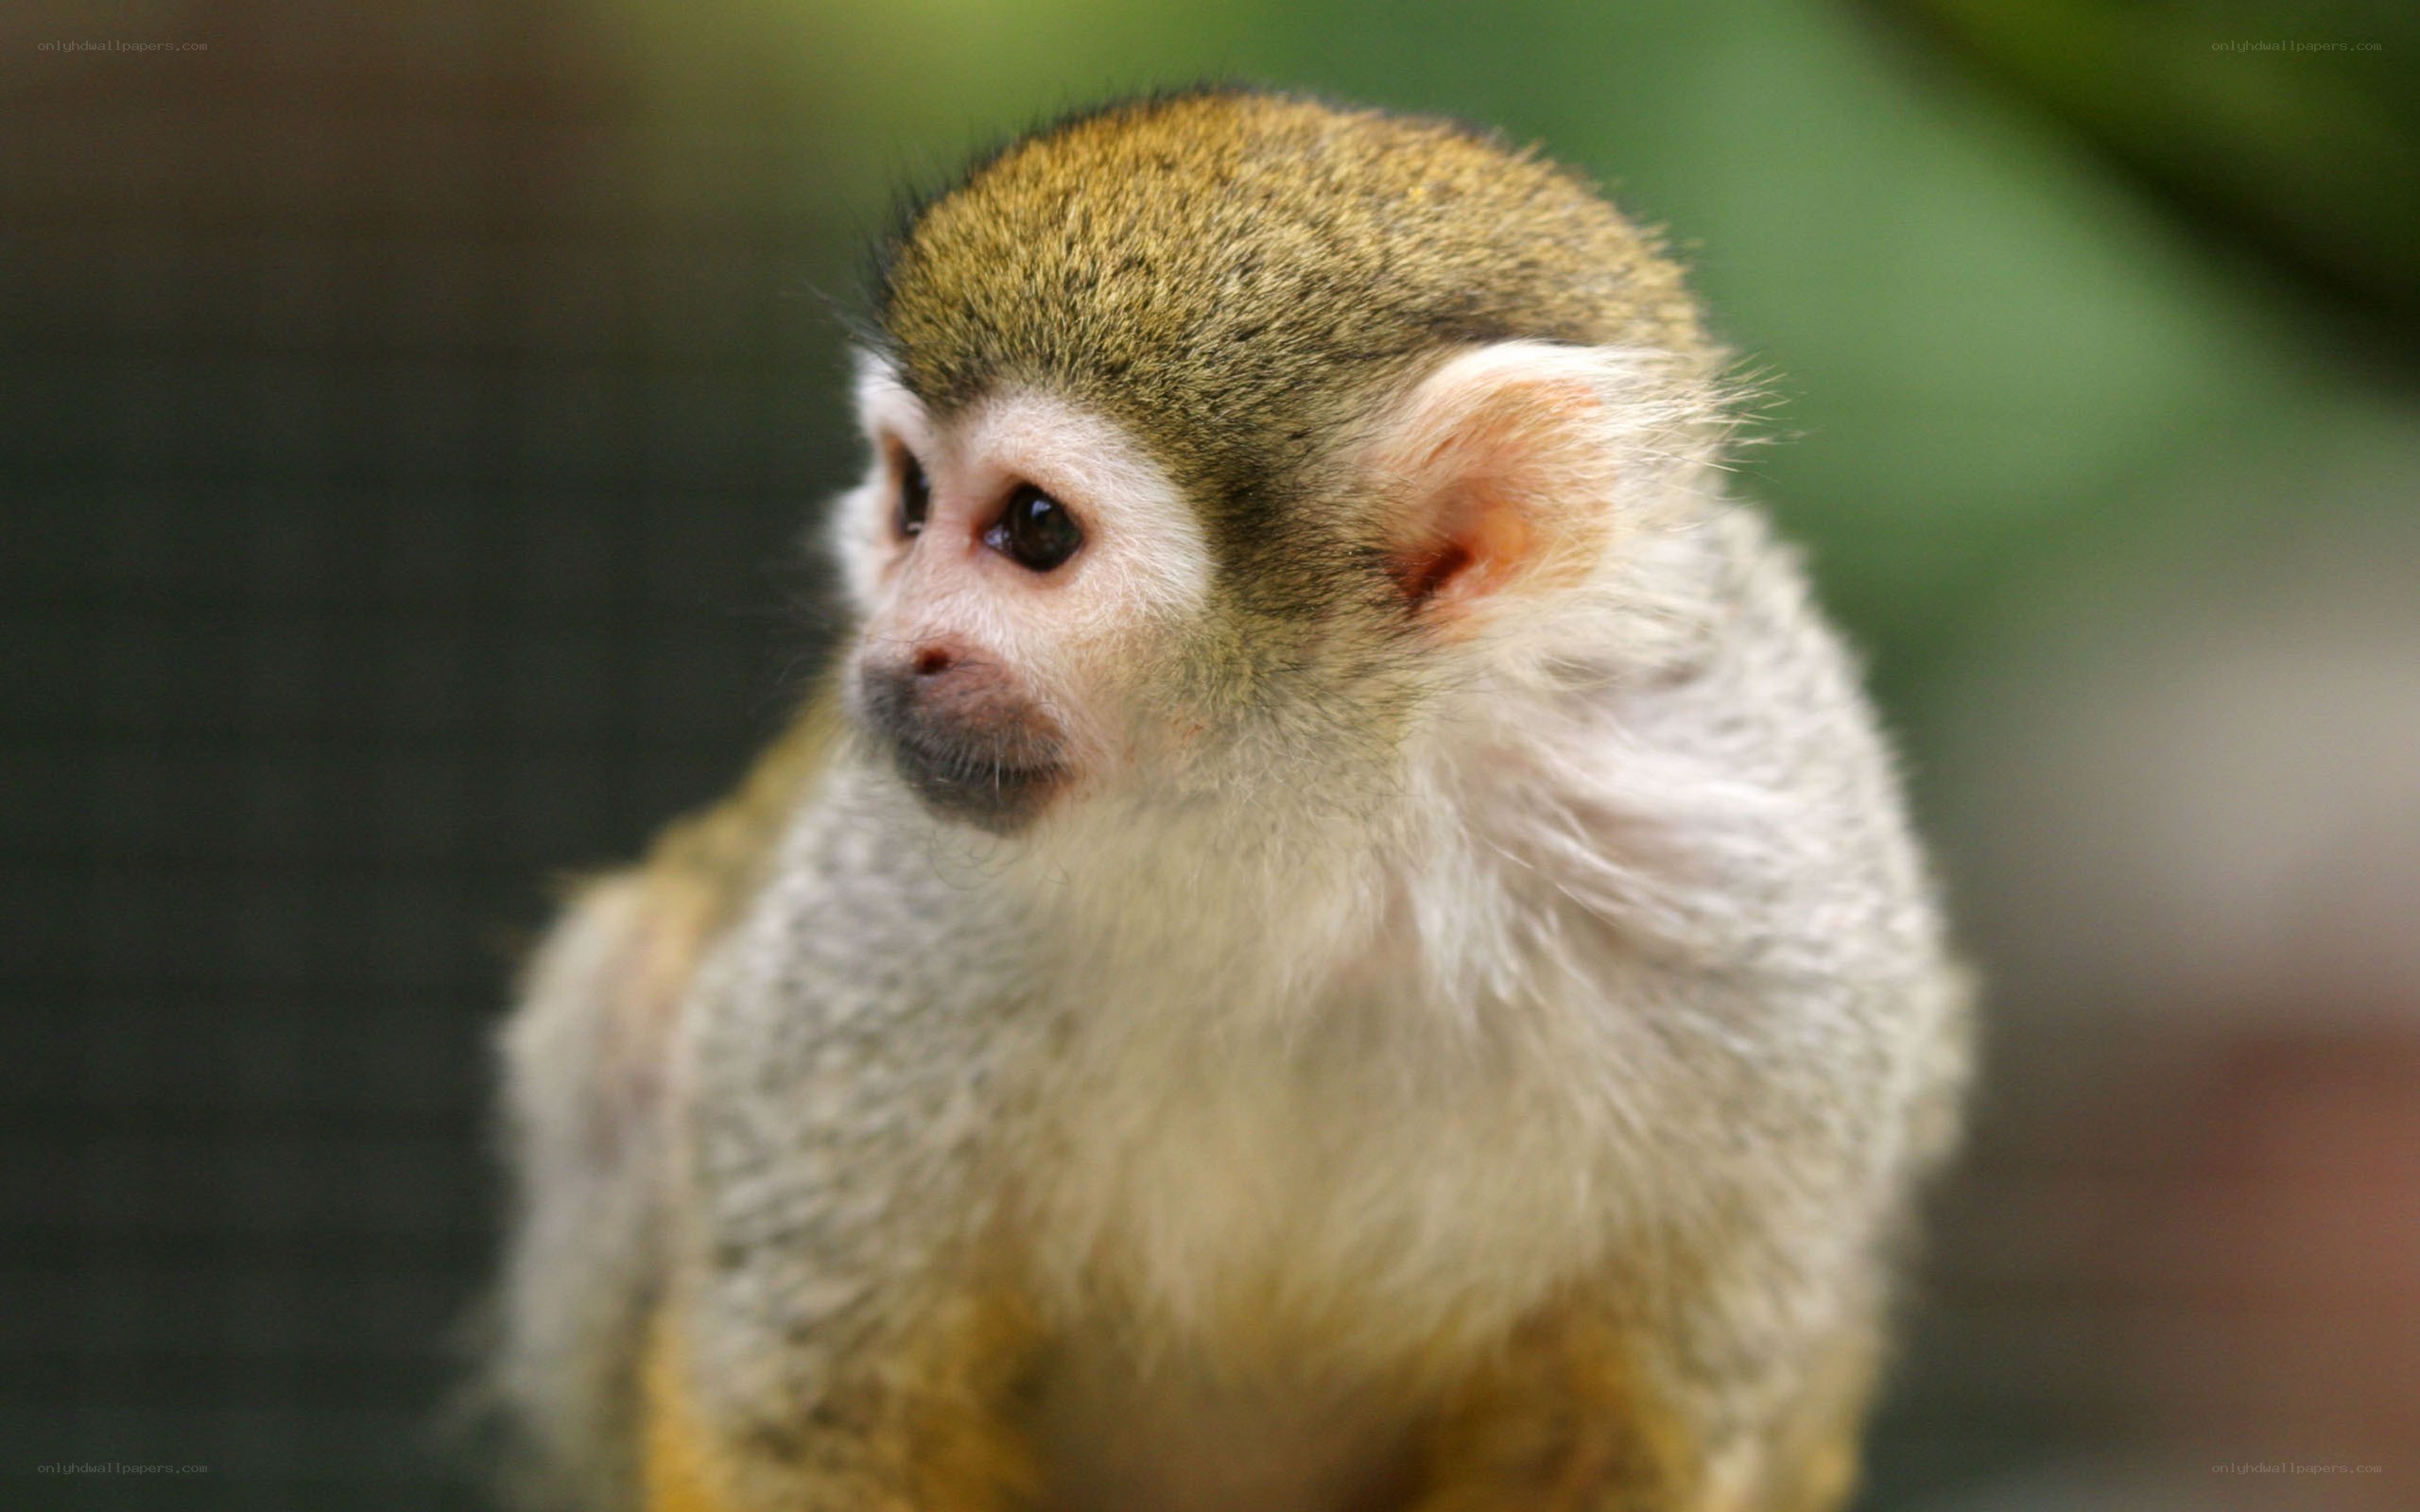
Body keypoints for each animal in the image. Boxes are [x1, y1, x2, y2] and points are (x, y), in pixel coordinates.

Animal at [479, 88, 1973, 1512]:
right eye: (907, 498)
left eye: (1032, 530)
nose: (894, 656)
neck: (1341, 849)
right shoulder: (892, 918)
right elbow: (815, 1399)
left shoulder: (1766, 947)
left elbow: (1611, 1440)